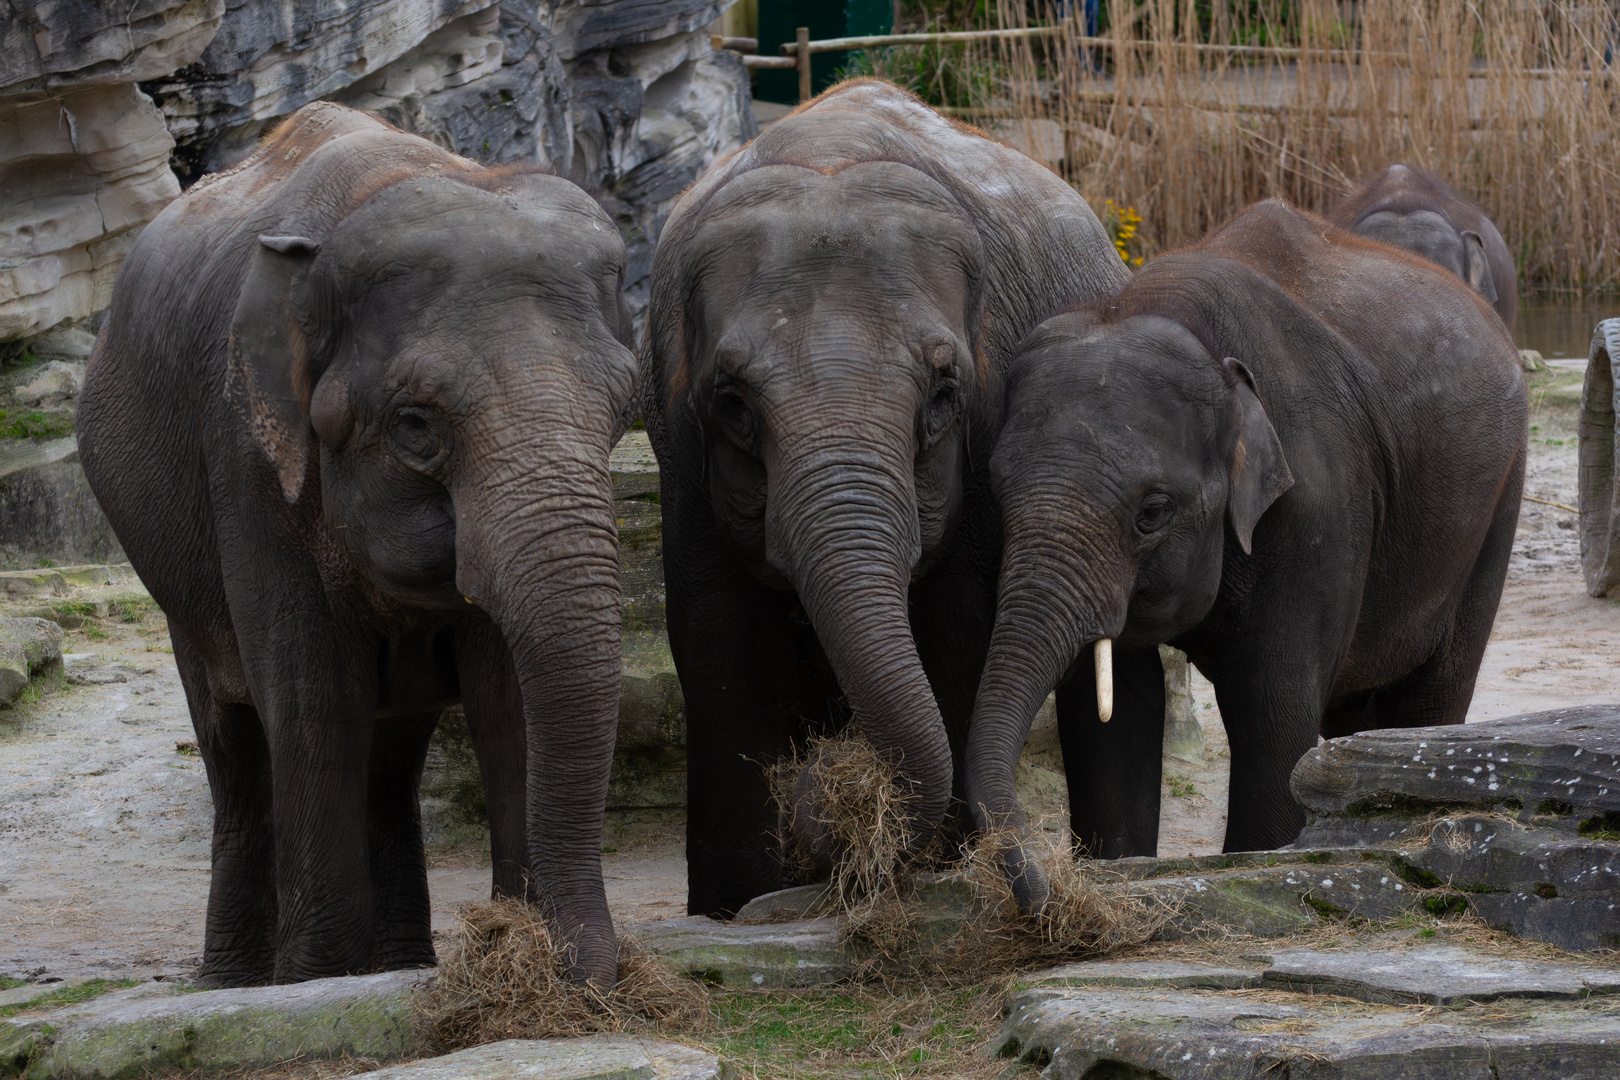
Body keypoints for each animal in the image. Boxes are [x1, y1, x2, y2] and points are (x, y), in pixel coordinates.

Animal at [78, 103, 638, 990]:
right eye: (415, 425)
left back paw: (397, 963)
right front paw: (314, 982)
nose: (584, 980)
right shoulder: (245, 457)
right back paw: (237, 982)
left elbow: (504, 694)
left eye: (623, 410)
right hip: (170, 573)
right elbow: (314, 697)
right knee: (235, 743)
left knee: (392, 749)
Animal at [638, 80, 1134, 919]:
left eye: (942, 396)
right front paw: (737, 904)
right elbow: (713, 636)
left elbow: (961, 624)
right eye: (733, 404)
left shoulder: (985, 436)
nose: (821, 790)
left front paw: (932, 870)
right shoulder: (678, 443)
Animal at [959, 196, 1529, 913]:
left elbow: (1272, 706)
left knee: (1430, 698)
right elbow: (1110, 716)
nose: (1040, 890)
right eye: (996, 491)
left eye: (1153, 512)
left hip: (1499, 500)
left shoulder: (1319, 499)